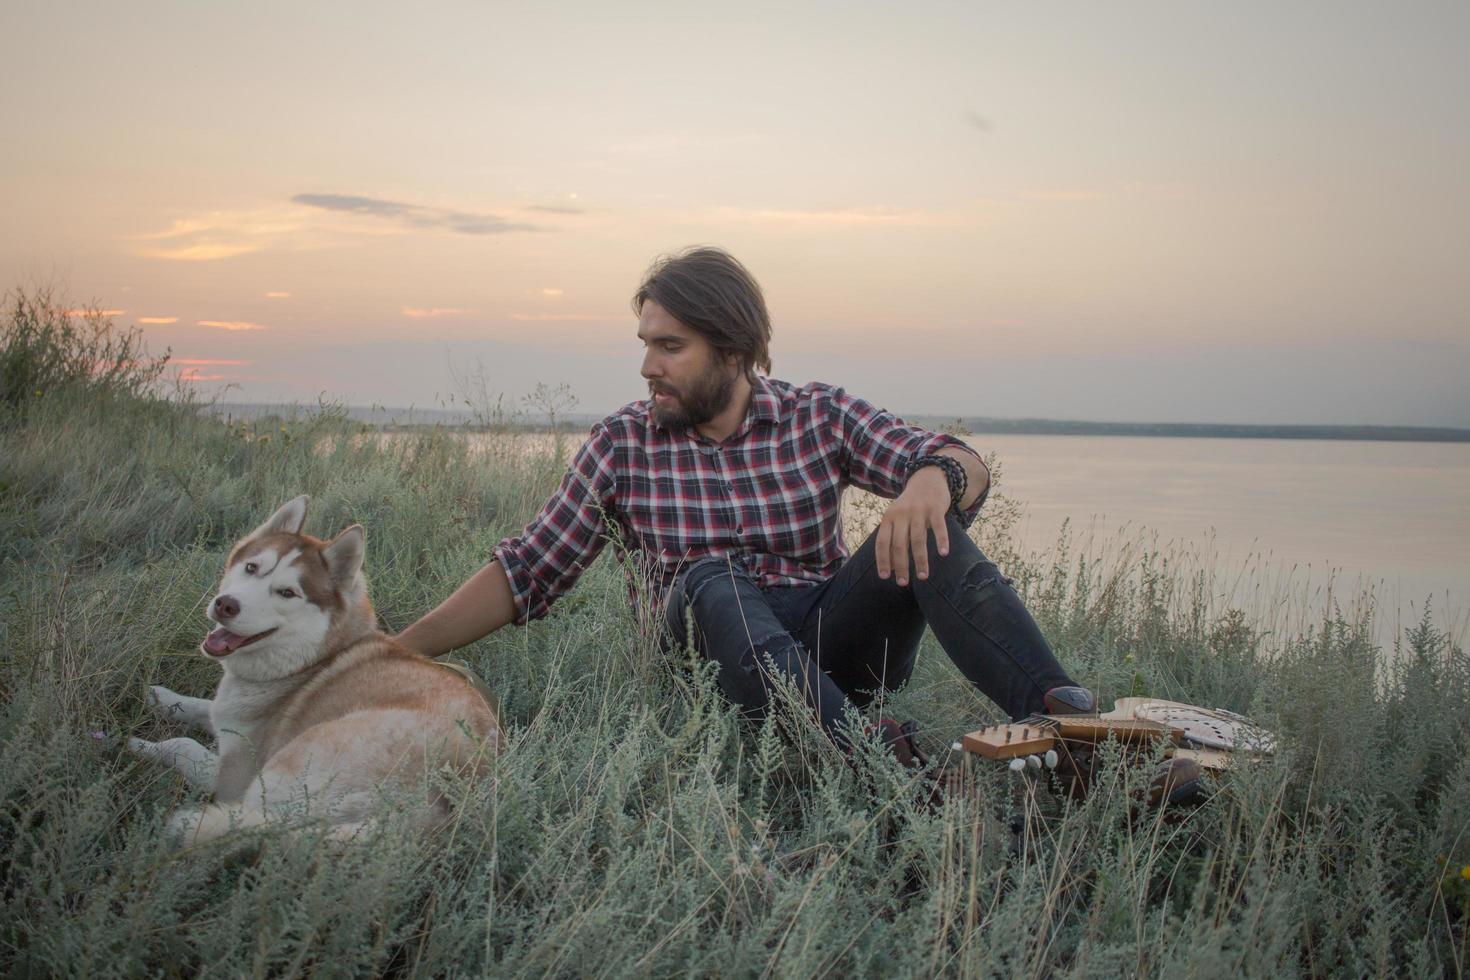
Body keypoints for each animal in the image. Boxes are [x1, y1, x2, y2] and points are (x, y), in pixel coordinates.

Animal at [133, 499, 499, 846]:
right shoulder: (228, 716)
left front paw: (137, 744)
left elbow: (181, 744)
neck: (310, 663)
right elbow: (200, 706)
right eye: (251, 567)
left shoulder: (233, 775)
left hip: (275, 778)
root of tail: (438, 805)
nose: (226, 604)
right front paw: (158, 697)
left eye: (287, 593)